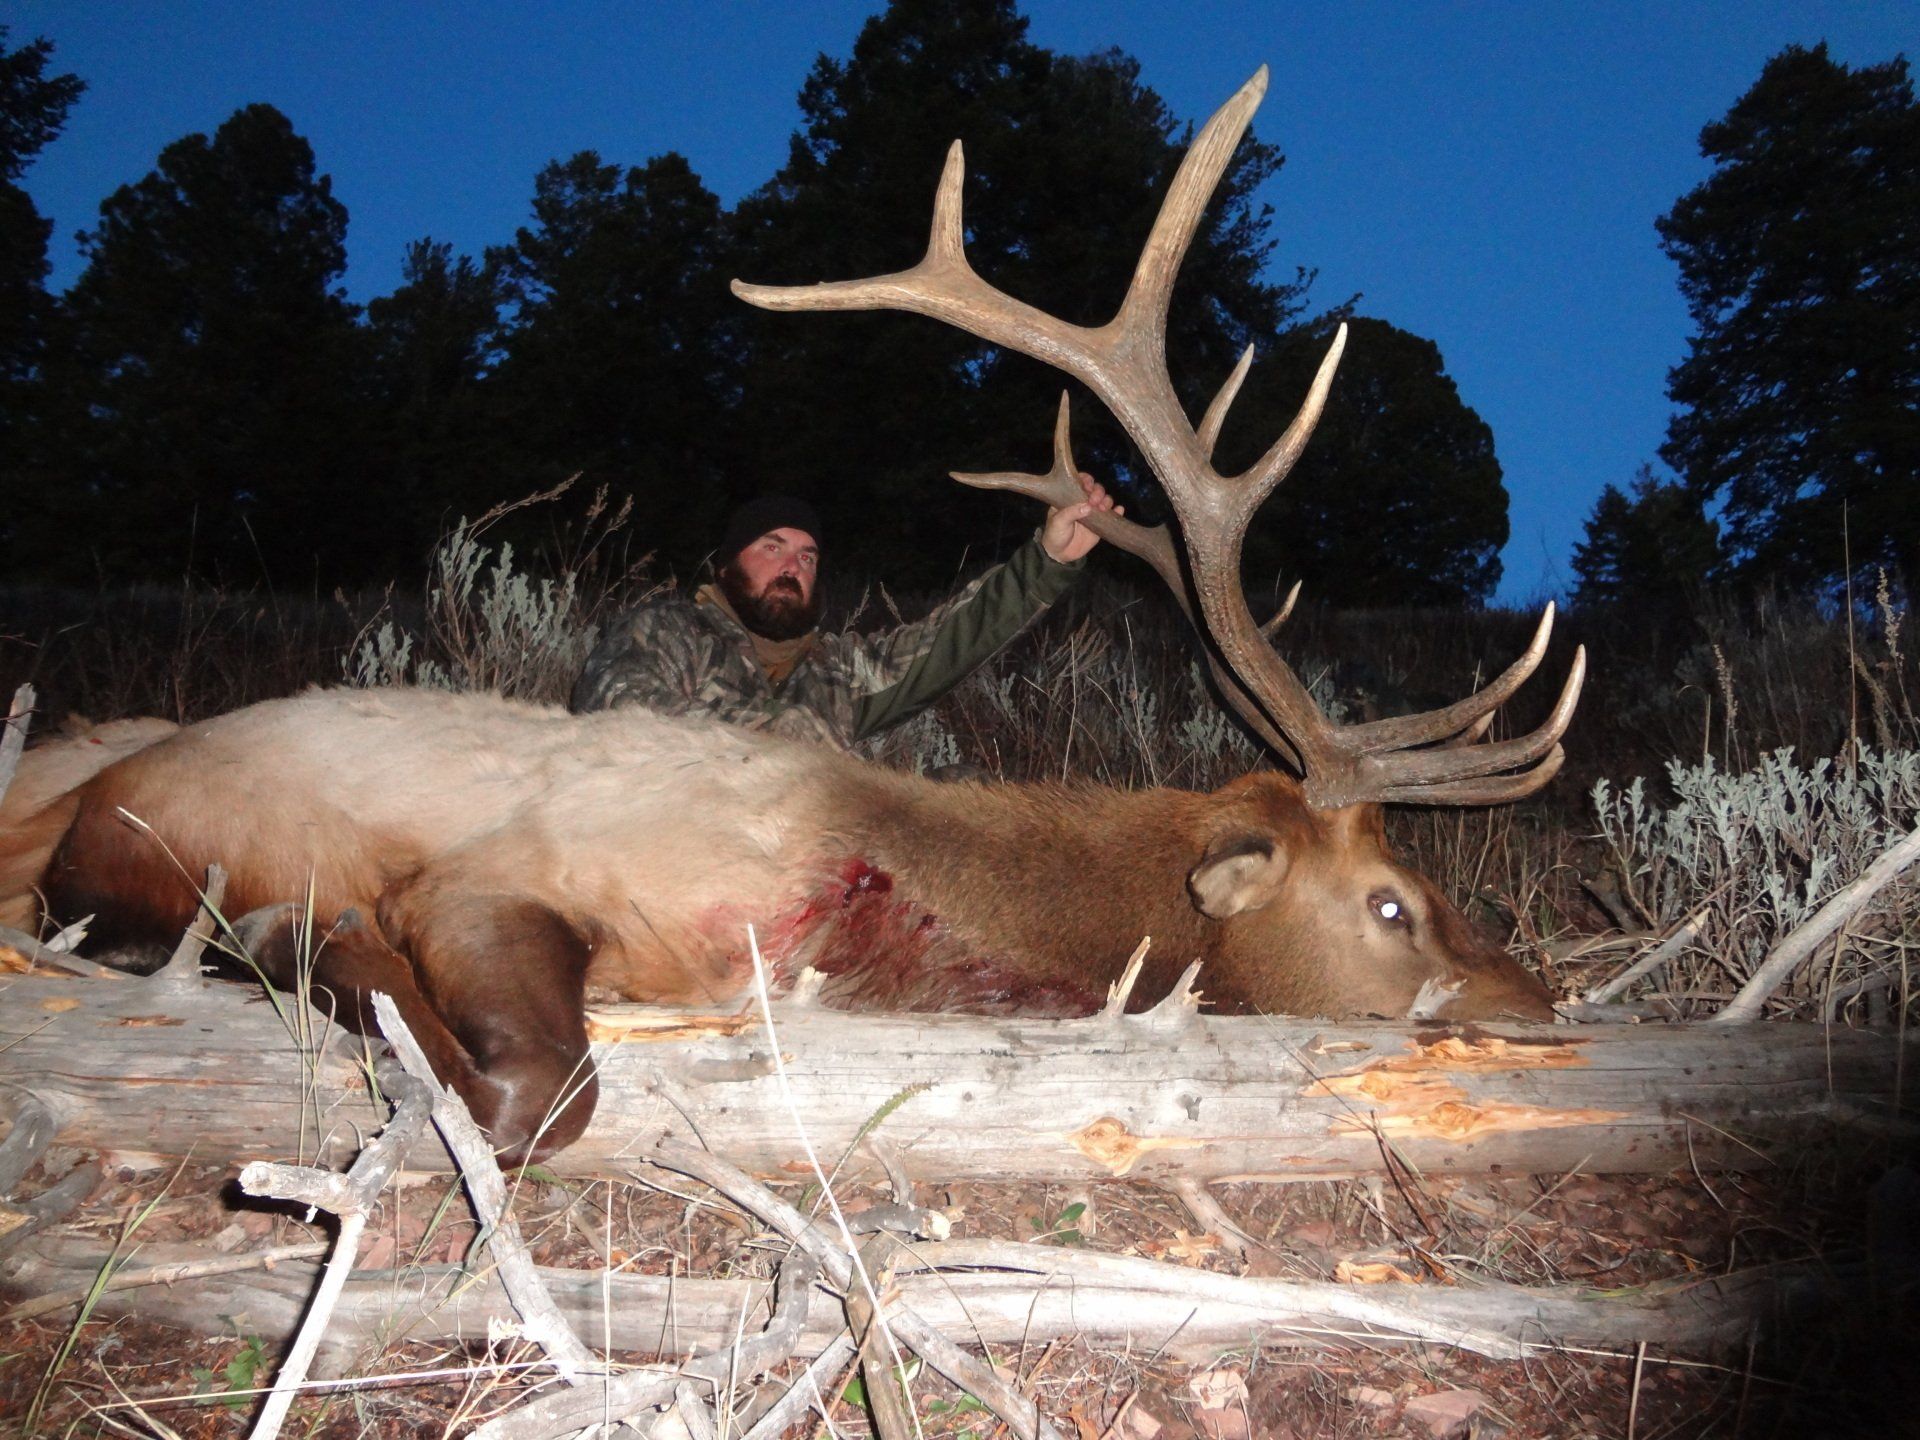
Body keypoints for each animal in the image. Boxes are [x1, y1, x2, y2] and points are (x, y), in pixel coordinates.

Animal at [1, 67, 1581, 1164]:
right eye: (1394, 904)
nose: (1542, 1006)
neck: (867, 894)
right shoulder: (500, 879)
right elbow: (527, 1092)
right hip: (145, 826)